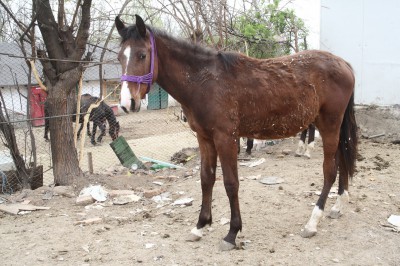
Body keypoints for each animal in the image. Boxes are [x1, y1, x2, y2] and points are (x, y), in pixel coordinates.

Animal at [114, 15, 358, 251]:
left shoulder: (226, 138)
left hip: (329, 125)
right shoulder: (205, 138)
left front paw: (232, 233)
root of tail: (345, 64)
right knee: (341, 161)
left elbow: (231, 184)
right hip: (333, 127)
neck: (204, 82)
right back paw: (338, 205)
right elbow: (206, 179)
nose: (127, 103)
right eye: (119, 58)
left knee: (329, 171)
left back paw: (312, 222)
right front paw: (200, 226)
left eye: (142, 55)